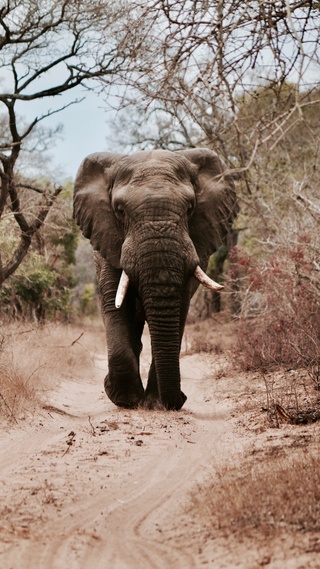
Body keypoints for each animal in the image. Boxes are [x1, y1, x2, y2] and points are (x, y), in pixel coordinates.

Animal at [73, 149, 238, 410]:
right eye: (120, 210)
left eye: (190, 208)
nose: (181, 399)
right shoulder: (108, 241)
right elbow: (115, 305)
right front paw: (125, 400)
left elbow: (179, 308)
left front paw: (154, 403)